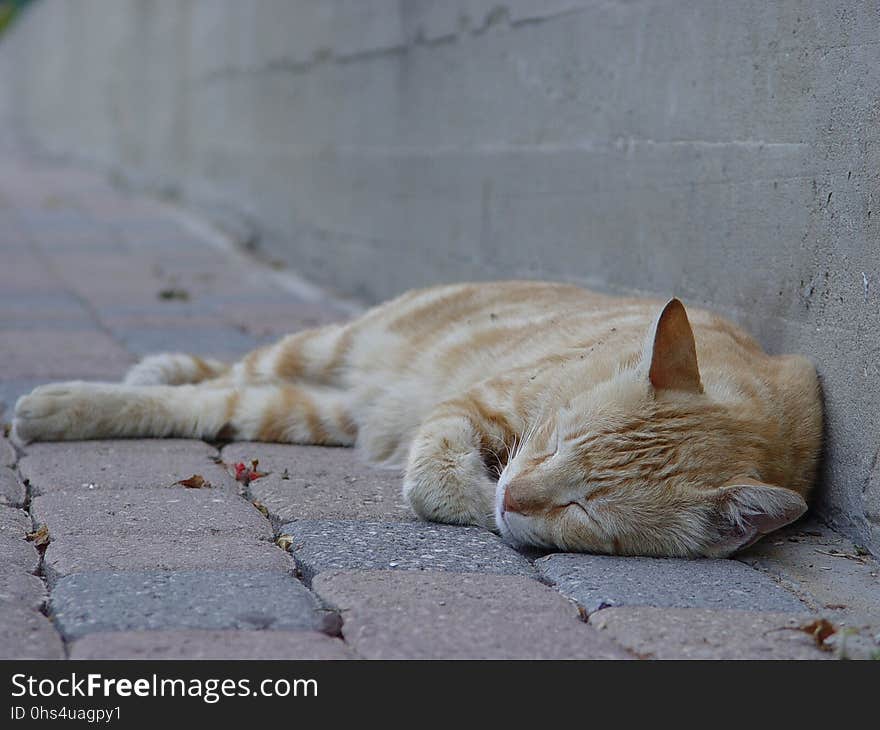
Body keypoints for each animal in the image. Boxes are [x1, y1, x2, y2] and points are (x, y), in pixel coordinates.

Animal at [13, 282, 820, 556]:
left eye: (585, 511)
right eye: (556, 442)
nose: (512, 496)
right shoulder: (474, 403)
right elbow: (436, 472)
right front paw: (472, 497)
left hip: (308, 411)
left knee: (219, 399)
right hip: (326, 347)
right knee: (228, 373)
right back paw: (115, 382)